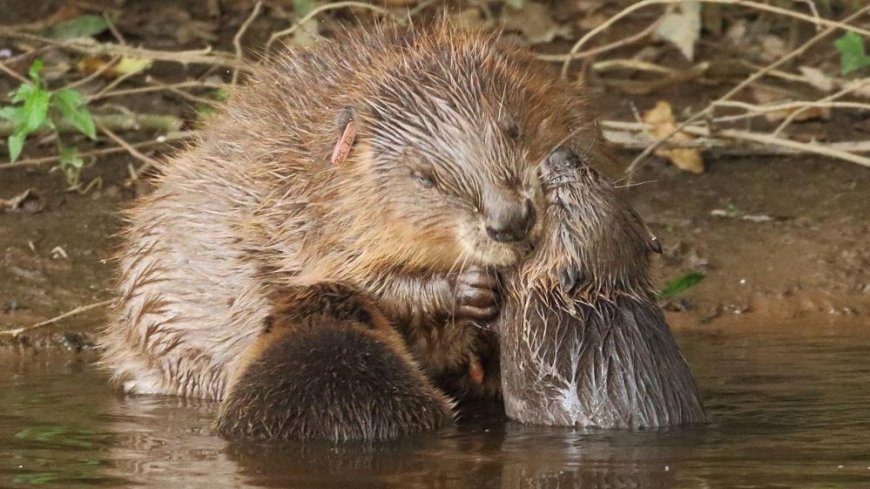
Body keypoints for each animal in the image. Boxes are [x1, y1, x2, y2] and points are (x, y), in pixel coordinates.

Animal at [99, 21, 604, 442]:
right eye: (424, 177)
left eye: (513, 129)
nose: (511, 220)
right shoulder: (309, 215)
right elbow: (359, 281)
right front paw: (469, 289)